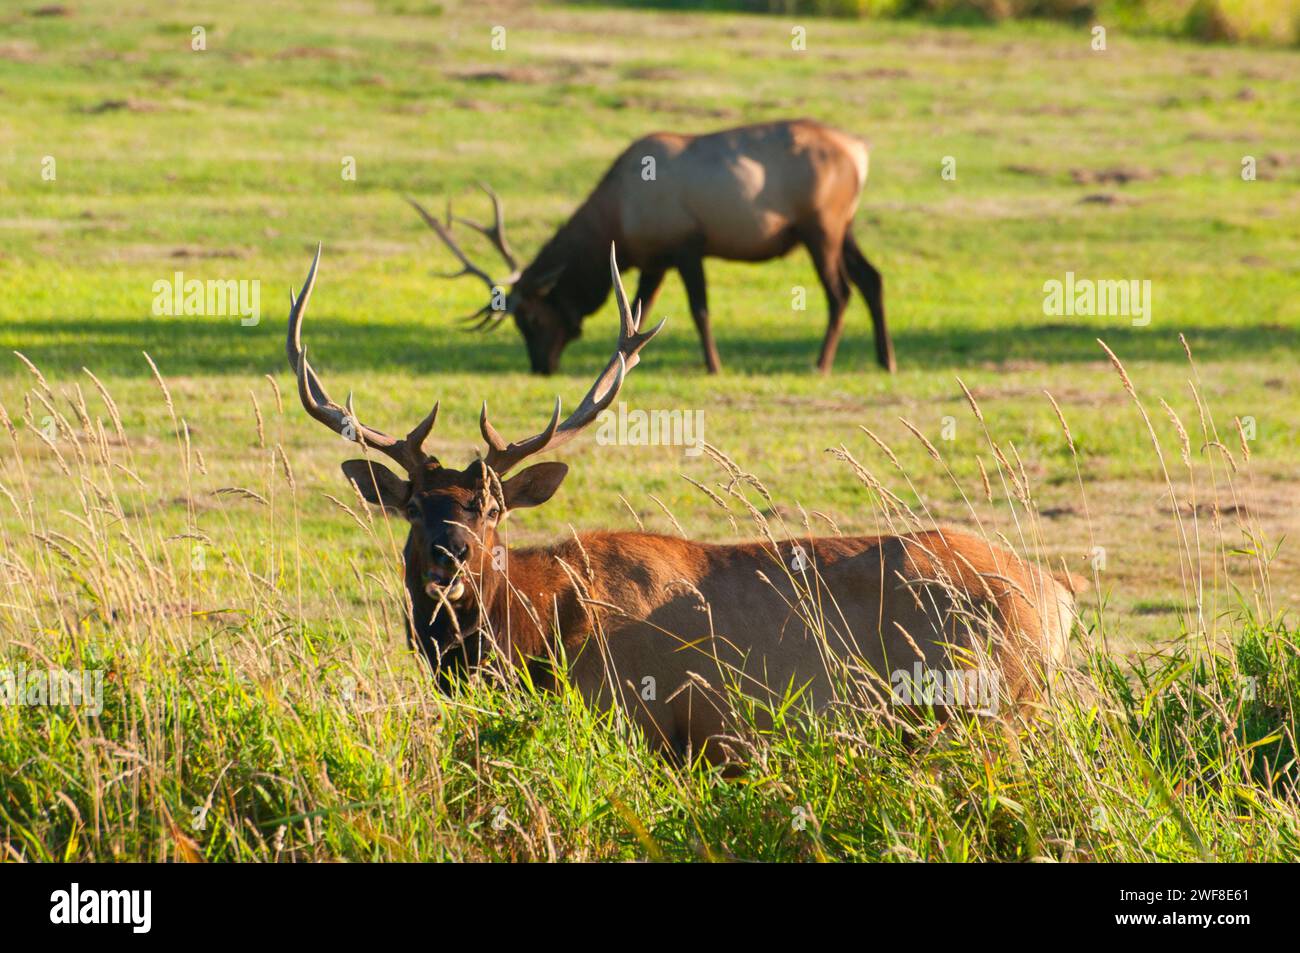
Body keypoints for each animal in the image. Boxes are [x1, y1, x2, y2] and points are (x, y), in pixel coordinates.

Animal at [288, 246, 1077, 767]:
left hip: (993, 705)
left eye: (491, 510)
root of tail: (1059, 596)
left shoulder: (645, 721)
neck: (539, 640)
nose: (447, 558)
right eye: (415, 507)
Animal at [407, 118, 894, 377]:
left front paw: (713, 366)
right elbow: (640, 309)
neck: (617, 218)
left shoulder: (685, 245)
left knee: (840, 292)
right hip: (844, 226)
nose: (541, 367)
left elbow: (699, 310)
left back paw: (822, 363)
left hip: (821, 226)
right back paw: (885, 360)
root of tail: (861, 149)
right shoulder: (653, 259)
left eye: (532, 318)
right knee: (873, 278)